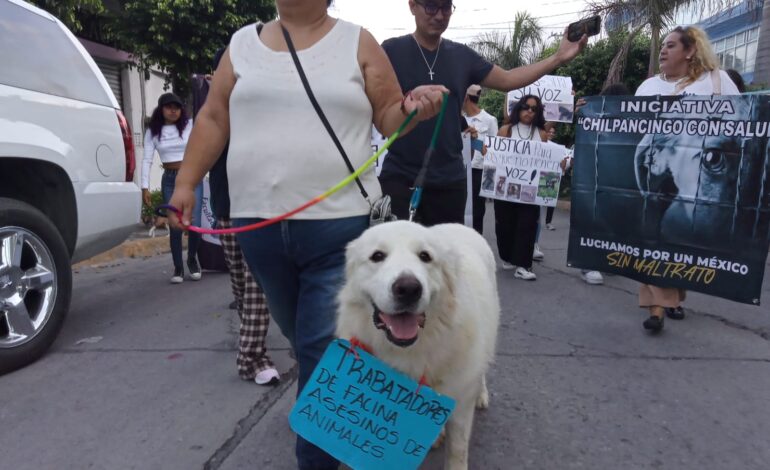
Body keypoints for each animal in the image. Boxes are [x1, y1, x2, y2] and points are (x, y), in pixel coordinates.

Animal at [336, 221, 498, 470]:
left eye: (425, 256)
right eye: (377, 256)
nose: (408, 288)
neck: (411, 350)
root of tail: (458, 224)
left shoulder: (461, 403)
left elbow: (457, 450)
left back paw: (481, 394)